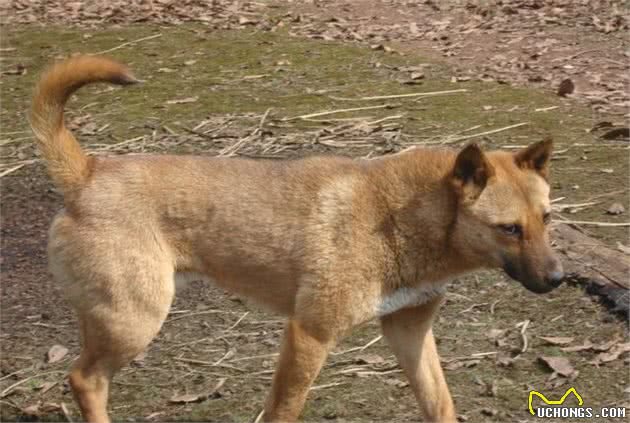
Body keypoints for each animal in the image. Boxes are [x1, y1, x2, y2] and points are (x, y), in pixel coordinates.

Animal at [29, 56, 564, 423]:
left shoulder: (409, 331)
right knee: (84, 379)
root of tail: (88, 172)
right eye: (509, 228)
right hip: (135, 320)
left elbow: (440, 403)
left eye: (546, 218)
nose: (560, 278)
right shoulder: (309, 335)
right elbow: (285, 409)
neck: (405, 216)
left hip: (113, 317)